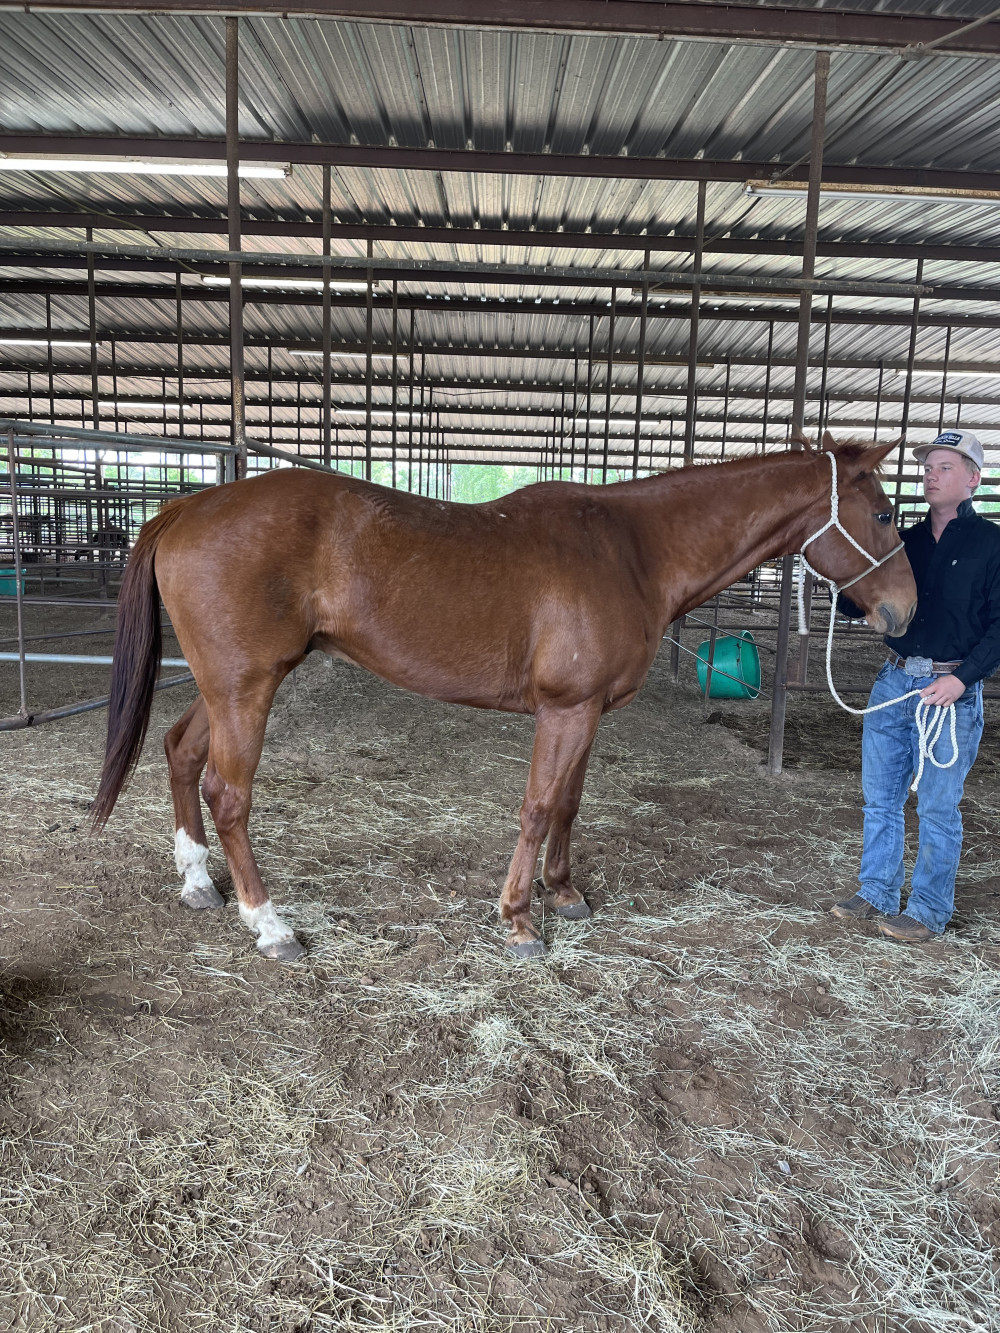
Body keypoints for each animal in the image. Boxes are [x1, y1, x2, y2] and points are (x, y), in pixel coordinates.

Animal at [92, 433, 916, 962]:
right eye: (884, 514)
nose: (904, 612)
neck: (633, 549)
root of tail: (189, 508)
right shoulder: (565, 709)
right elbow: (540, 806)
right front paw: (520, 921)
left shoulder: (588, 712)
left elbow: (570, 804)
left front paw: (565, 892)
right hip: (246, 688)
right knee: (227, 793)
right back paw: (271, 926)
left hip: (228, 686)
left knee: (179, 751)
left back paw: (198, 881)